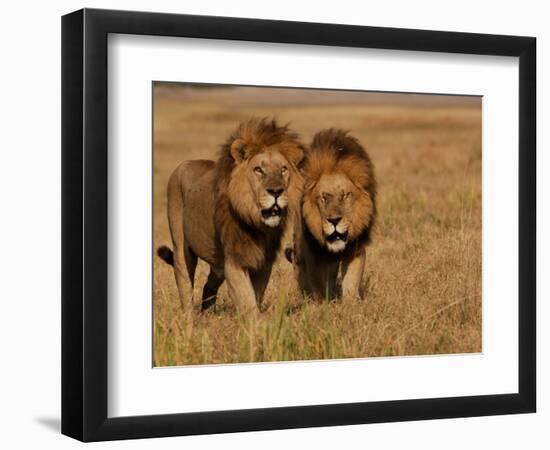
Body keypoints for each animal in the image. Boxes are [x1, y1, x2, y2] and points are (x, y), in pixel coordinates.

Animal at [157, 119, 306, 316]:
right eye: (258, 170)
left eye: (283, 170)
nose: (276, 191)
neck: (256, 224)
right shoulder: (234, 260)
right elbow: (247, 300)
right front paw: (255, 323)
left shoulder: (263, 262)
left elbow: (256, 295)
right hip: (181, 248)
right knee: (185, 286)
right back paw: (189, 318)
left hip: (217, 265)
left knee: (208, 286)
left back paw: (208, 314)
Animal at [286, 128, 378, 300]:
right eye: (323, 197)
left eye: (346, 195)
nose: (334, 221)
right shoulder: (313, 250)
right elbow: (318, 282)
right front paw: (322, 302)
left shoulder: (356, 247)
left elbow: (352, 279)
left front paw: (351, 302)